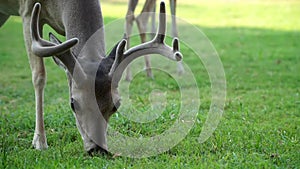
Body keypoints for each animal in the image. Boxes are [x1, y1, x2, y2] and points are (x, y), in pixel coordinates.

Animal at [0, 0, 182, 155]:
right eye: (72, 104)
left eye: (116, 105)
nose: (98, 149)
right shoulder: (27, 11)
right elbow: (39, 76)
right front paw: (39, 141)